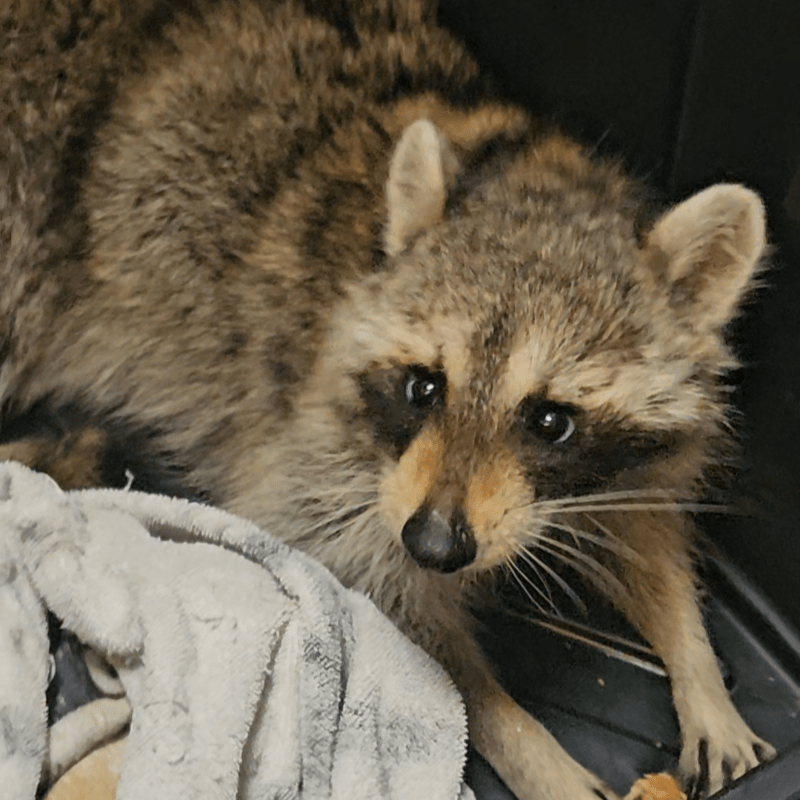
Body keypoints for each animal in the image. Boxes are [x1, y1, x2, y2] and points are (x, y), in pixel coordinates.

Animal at [0, 0, 776, 798]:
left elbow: (643, 525)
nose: (434, 544)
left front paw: (695, 659)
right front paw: (531, 747)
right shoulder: (315, 447)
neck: (530, 175)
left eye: (550, 421)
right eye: (423, 386)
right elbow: (396, 613)